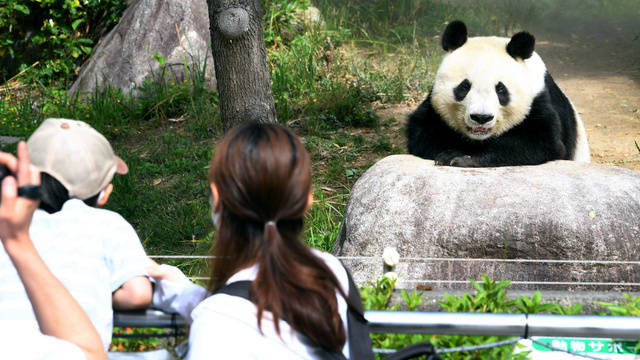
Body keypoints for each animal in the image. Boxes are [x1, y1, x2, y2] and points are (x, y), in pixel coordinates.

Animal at [404, 19, 592, 166]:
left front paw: (463, 157)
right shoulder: (433, 107)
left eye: (501, 89)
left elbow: (541, 143)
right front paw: (450, 153)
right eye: (464, 87)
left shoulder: (538, 100)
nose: (481, 118)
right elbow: (422, 133)